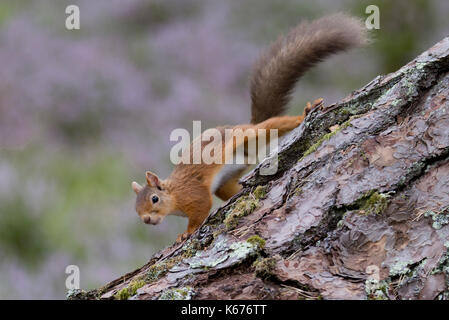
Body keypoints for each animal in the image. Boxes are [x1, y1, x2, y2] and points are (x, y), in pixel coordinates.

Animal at [130, 13, 368, 242]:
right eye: (136, 207)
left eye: (154, 198)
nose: (146, 219)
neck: (175, 194)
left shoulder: (194, 194)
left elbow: (201, 209)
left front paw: (186, 232)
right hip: (226, 180)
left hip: (252, 133)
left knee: (276, 124)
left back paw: (304, 114)